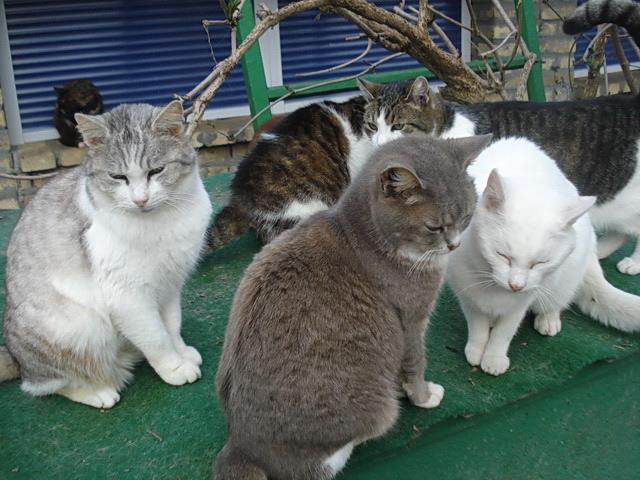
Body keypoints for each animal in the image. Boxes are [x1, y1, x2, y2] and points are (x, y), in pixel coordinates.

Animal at [0, 101, 212, 409]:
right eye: (118, 177)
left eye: (156, 171)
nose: (140, 200)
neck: (162, 222)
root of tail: (14, 357)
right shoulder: (128, 297)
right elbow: (157, 338)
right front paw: (174, 367)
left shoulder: (170, 285)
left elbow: (171, 326)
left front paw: (182, 352)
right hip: (82, 329)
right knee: (45, 384)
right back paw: (98, 391)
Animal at [213, 134, 491, 480]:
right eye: (434, 227)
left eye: (467, 216)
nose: (454, 245)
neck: (367, 237)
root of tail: (241, 444)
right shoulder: (411, 318)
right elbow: (415, 362)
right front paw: (424, 395)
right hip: (372, 411)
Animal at [447, 137, 640, 376]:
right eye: (502, 256)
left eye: (540, 263)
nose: (516, 285)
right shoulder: (467, 293)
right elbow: (477, 325)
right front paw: (476, 349)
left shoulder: (523, 300)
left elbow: (505, 331)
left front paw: (494, 356)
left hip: (564, 276)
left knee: (559, 299)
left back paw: (549, 318)